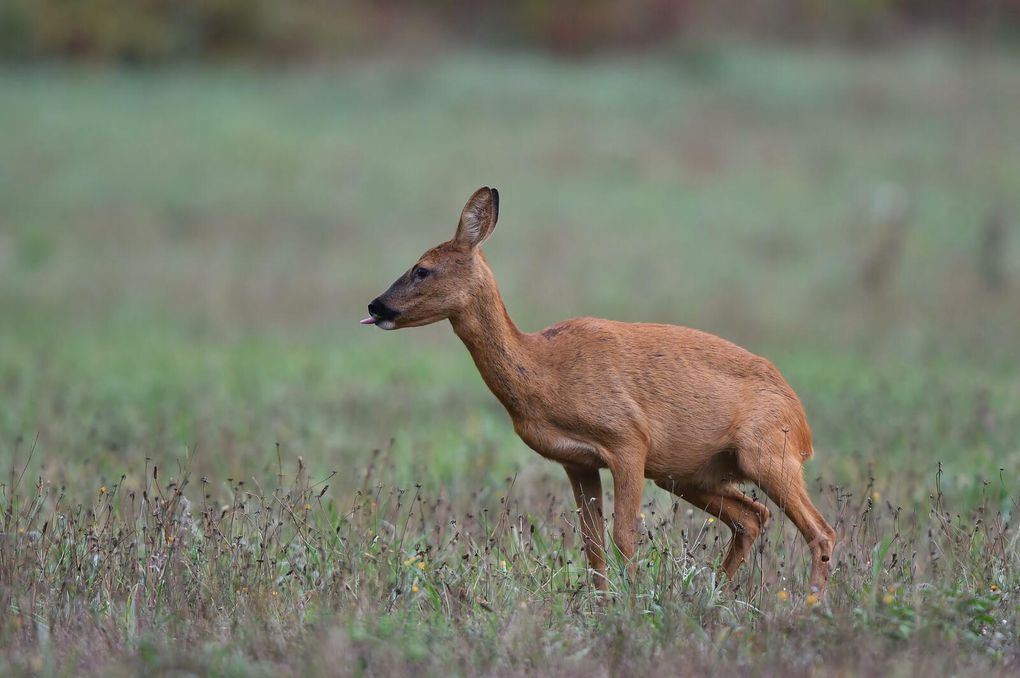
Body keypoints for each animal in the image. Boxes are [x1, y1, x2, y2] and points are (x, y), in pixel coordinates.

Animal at [363, 186, 832, 591]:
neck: (544, 372)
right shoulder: (578, 462)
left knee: (820, 530)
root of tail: (804, 424)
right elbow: (591, 543)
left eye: (422, 268)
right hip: (689, 472)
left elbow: (623, 534)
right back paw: (715, 591)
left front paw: (631, 602)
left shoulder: (628, 439)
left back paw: (808, 602)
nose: (375, 305)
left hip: (767, 451)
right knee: (752, 516)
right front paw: (601, 603)